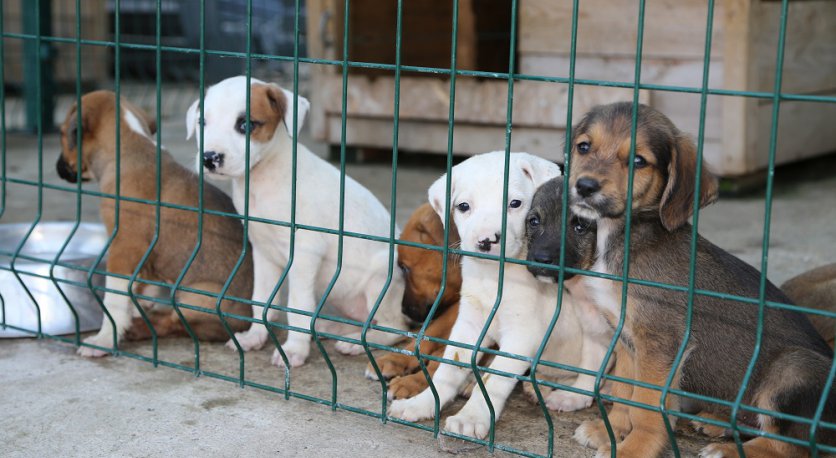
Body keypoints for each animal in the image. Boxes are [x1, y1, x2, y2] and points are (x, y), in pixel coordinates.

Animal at [57, 90, 251, 358]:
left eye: (61, 133)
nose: (58, 169)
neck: (128, 148)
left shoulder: (122, 249)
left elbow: (114, 300)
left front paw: (104, 339)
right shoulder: (144, 257)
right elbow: (137, 289)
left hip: (196, 297)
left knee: (174, 323)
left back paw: (141, 328)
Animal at [186, 76, 408, 368]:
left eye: (246, 124)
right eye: (203, 123)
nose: (209, 157)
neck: (263, 178)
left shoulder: (304, 253)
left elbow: (298, 305)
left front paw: (294, 350)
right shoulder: (263, 252)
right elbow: (261, 299)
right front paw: (255, 336)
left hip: (382, 279)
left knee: (394, 328)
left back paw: (356, 343)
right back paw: (331, 328)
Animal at [386, 152, 608, 438]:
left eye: (515, 203)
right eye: (463, 206)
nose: (485, 241)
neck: (494, 277)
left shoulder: (522, 336)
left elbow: (495, 379)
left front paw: (470, 417)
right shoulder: (468, 324)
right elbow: (449, 367)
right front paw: (421, 404)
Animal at [560, 101, 832, 458]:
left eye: (638, 160)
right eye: (584, 147)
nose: (585, 186)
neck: (626, 236)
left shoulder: (660, 341)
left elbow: (646, 406)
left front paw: (633, 448)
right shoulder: (628, 338)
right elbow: (624, 393)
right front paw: (612, 432)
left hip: (792, 371)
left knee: (791, 446)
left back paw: (727, 450)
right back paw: (718, 422)